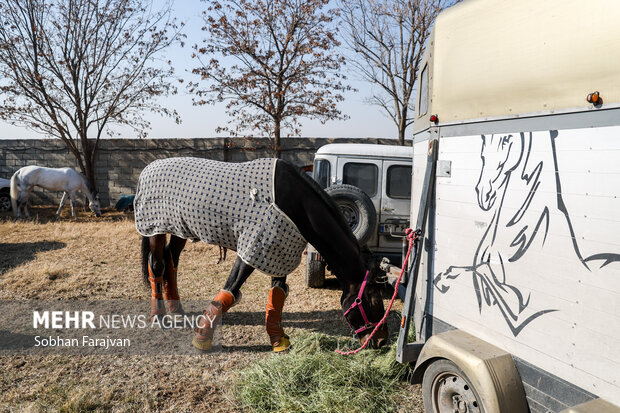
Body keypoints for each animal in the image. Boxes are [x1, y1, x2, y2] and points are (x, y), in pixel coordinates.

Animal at [136, 157, 388, 350]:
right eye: (375, 300)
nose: (382, 341)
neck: (295, 203)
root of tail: (148, 168)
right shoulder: (252, 249)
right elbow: (230, 289)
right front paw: (202, 339)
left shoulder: (279, 252)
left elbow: (277, 294)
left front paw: (278, 340)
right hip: (155, 228)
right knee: (157, 264)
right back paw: (159, 317)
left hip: (179, 229)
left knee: (171, 260)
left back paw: (176, 310)